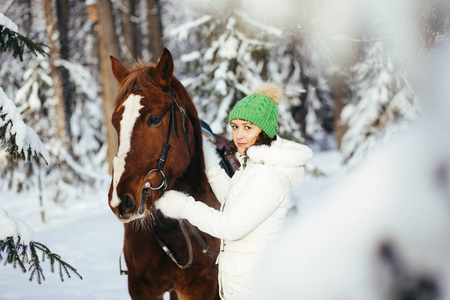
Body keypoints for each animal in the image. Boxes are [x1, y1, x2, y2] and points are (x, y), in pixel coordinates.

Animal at [109, 48, 221, 298]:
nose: (120, 201)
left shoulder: (202, 286)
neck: (171, 226)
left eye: (154, 119)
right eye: (115, 122)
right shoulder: (141, 286)